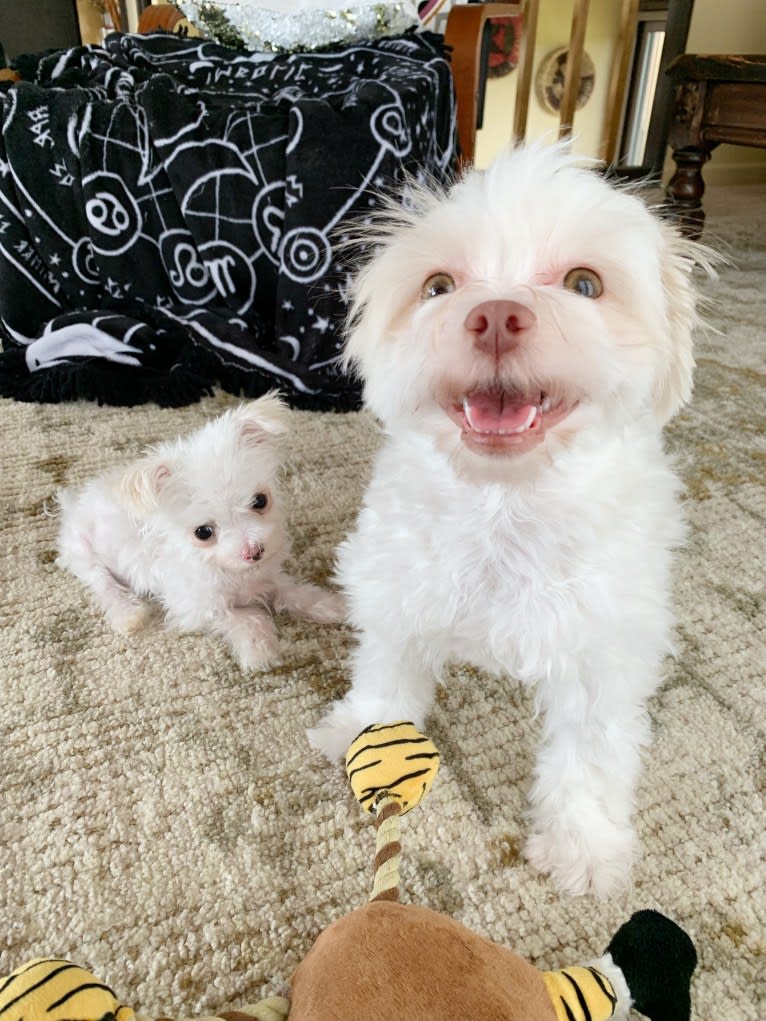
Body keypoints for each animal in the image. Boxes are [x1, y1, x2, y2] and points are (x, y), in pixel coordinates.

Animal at [58, 392, 347, 669]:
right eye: (203, 532)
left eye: (260, 501)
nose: (254, 552)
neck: (234, 574)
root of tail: (74, 505)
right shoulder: (196, 608)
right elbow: (245, 616)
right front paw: (260, 649)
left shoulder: (268, 577)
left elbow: (292, 592)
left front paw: (332, 605)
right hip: (82, 553)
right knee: (102, 583)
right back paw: (128, 614)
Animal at [310, 143, 706, 894]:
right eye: (438, 285)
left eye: (585, 284)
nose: (494, 316)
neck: (505, 507)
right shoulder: (399, 590)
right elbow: (386, 673)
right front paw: (363, 728)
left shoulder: (601, 650)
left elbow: (591, 753)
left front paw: (582, 844)